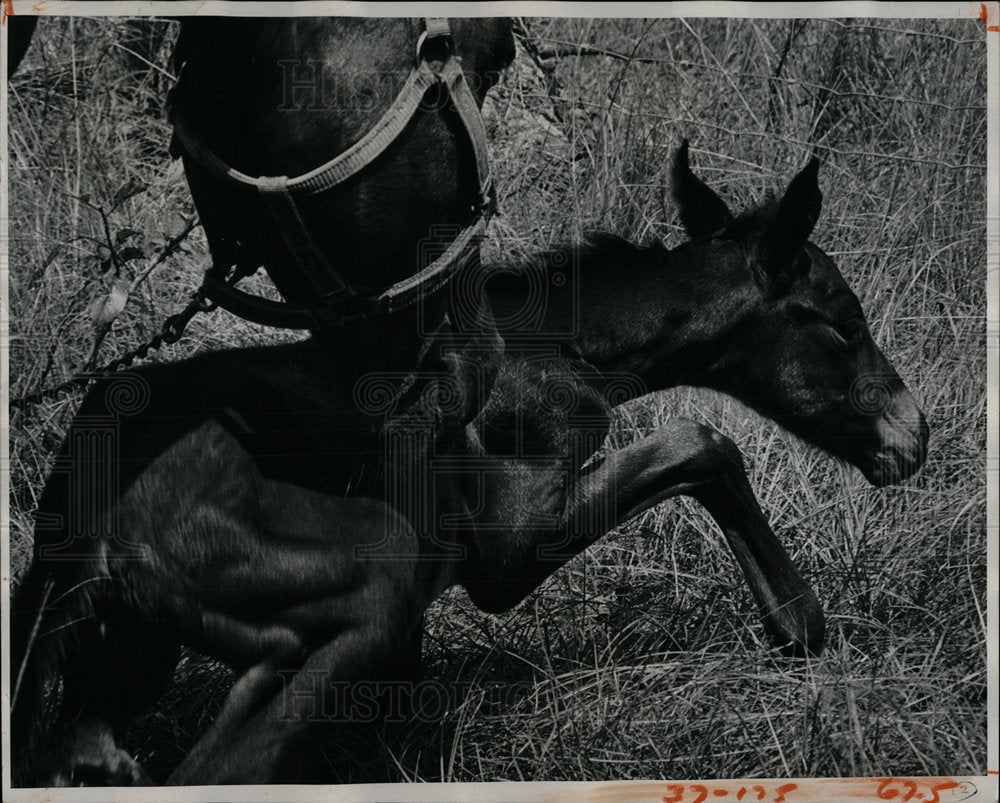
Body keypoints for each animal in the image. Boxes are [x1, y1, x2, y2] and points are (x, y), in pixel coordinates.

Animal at [9, 143, 928, 784]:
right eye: (842, 321)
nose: (913, 435)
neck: (563, 345)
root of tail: (77, 541)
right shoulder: (507, 545)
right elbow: (704, 441)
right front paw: (798, 622)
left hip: (118, 668)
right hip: (362, 589)